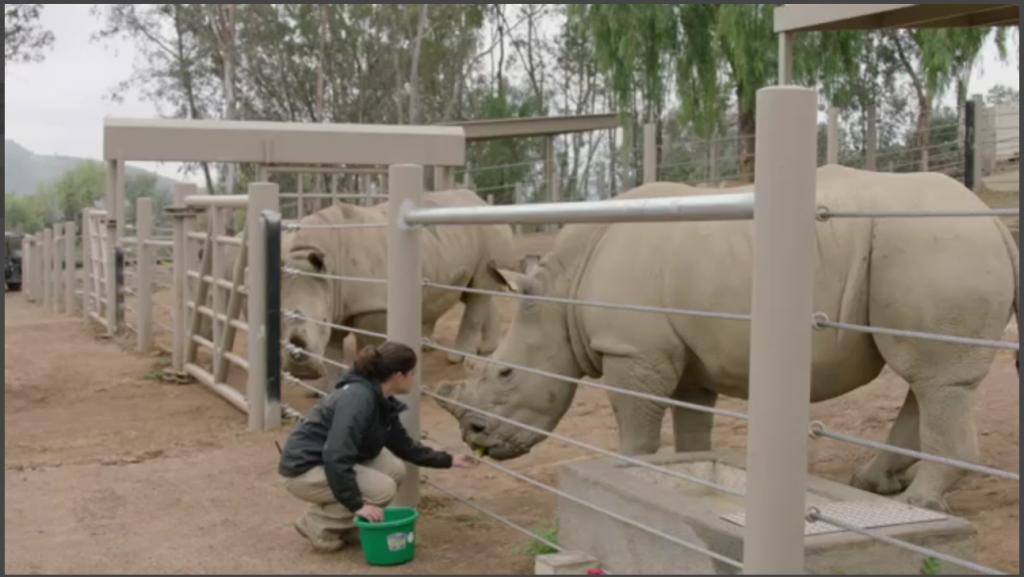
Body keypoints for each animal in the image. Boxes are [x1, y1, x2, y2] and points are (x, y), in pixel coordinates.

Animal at [282, 190, 516, 387]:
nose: (298, 367)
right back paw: (486, 350)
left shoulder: (372, 305)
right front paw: (326, 389)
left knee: (479, 287)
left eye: (321, 321)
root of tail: (481, 201)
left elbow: (371, 345)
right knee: (475, 290)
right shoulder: (336, 301)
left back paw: (458, 358)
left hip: (488, 229)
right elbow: (332, 351)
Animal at [440, 166, 1015, 510]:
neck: (562, 295)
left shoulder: (633, 350)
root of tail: (995, 223)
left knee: (936, 378)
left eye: (505, 373)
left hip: (935, 246)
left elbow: (636, 425)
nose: (473, 437)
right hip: (933, 247)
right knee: (925, 379)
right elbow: (692, 426)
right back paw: (876, 486)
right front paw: (685, 476)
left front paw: (628, 473)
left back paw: (919, 503)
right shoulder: (682, 355)